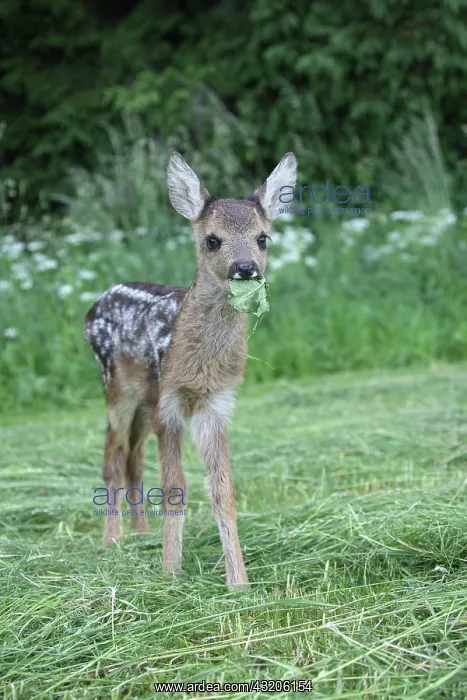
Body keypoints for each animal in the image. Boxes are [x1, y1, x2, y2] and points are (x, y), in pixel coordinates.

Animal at [84, 151, 297, 586]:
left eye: (263, 237)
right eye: (212, 239)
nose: (245, 266)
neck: (200, 363)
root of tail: (91, 309)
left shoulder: (215, 403)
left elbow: (222, 489)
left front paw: (238, 582)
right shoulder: (170, 401)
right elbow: (174, 487)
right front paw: (171, 572)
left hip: (144, 402)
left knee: (133, 456)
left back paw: (140, 533)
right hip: (116, 389)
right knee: (113, 454)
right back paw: (112, 542)